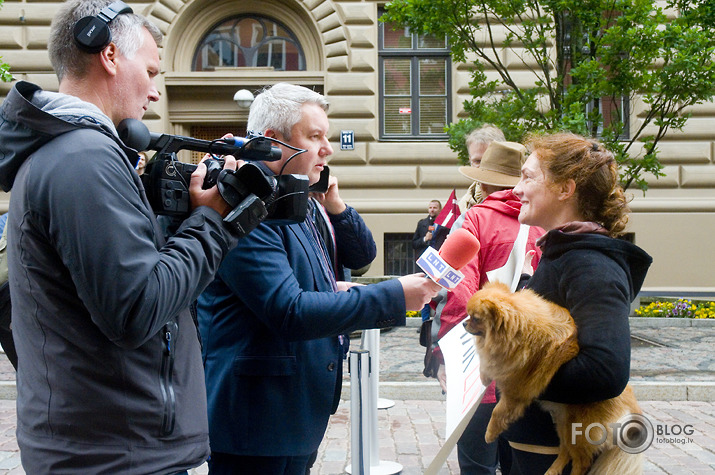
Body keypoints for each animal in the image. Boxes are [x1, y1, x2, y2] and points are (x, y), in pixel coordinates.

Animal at [468, 282, 648, 475]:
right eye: (468, 315)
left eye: (475, 318)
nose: (464, 323)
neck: (519, 332)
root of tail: (631, 407)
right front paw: (484, 376)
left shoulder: (515, 391)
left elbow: (498, 412)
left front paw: (490, 433)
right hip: (564, 425)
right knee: (566, 452)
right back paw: (552, 470)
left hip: (579, 429)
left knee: (582, 461)